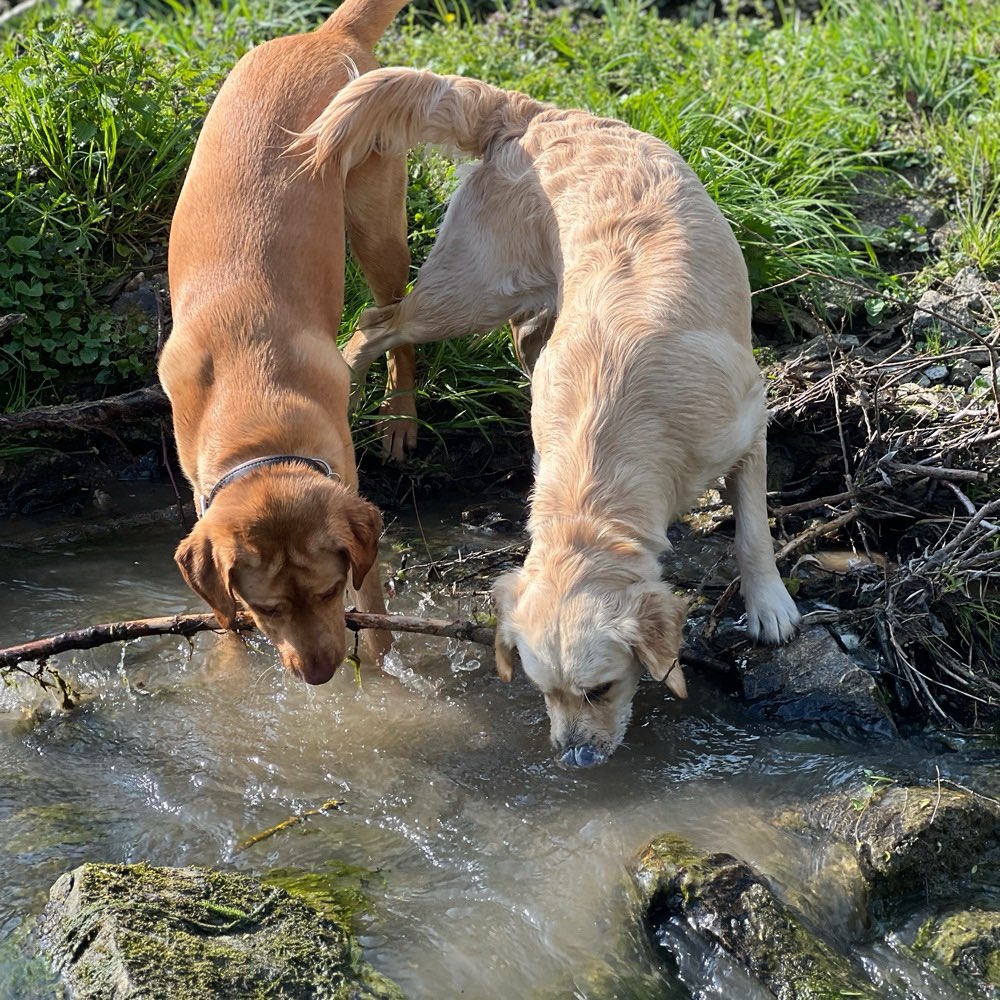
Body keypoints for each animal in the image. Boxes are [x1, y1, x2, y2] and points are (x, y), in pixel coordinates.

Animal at [162, 0, 412, 688]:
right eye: (265, 607)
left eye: (328, 592)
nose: (321, 674)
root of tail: (326, 36)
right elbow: (219, 619)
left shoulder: (356, 510)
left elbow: (376, 613)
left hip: (377, 226)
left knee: (400, 323)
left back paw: (401, 418)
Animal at [292, 70, 800, 756]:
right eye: (544, 692)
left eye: (601, 689)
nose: (573, 758)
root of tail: (535, 113)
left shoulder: (749, 417)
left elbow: (752, 530)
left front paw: (770, 605)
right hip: (470, 290)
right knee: (379, 322)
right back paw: (376, 407)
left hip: (488, 294)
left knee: (430, 324)